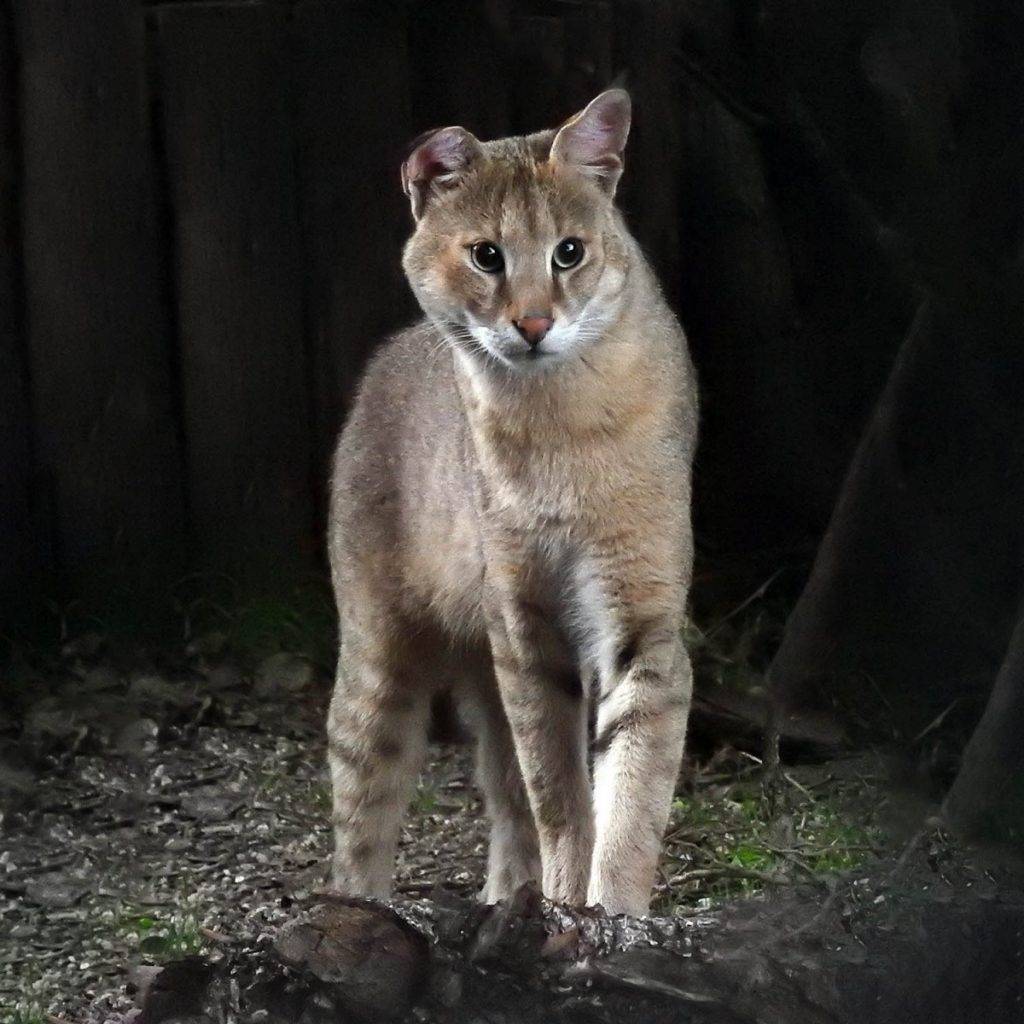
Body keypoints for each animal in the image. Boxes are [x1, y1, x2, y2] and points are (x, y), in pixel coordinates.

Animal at [325, 88, 696, 917]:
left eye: (570, 252)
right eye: (486, 255)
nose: (532, 325)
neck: (557, 417)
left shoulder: (644, 619)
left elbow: (632, 792)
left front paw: (610, 915)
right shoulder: (526, 629)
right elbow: (557, 792)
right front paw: (568, 900)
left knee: (500, 789)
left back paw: (508, 899)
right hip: (380, 645)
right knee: (363, 799)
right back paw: (354, 917)